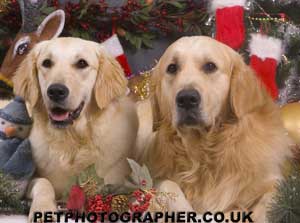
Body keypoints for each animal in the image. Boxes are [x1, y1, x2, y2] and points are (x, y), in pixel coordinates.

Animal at [12, 37, 138, 221]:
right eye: (46, 63)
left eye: (82, 63)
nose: (56, 91)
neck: (72, 140)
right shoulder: (32, 179)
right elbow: (44, 183)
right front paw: (42, 209)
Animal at [142, 35, 292, 222]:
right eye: (172, 68)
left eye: (210, 66)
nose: (186, 99)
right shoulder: (158, 176)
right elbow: (168, 186)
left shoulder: (274, 181)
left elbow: (266, 206)